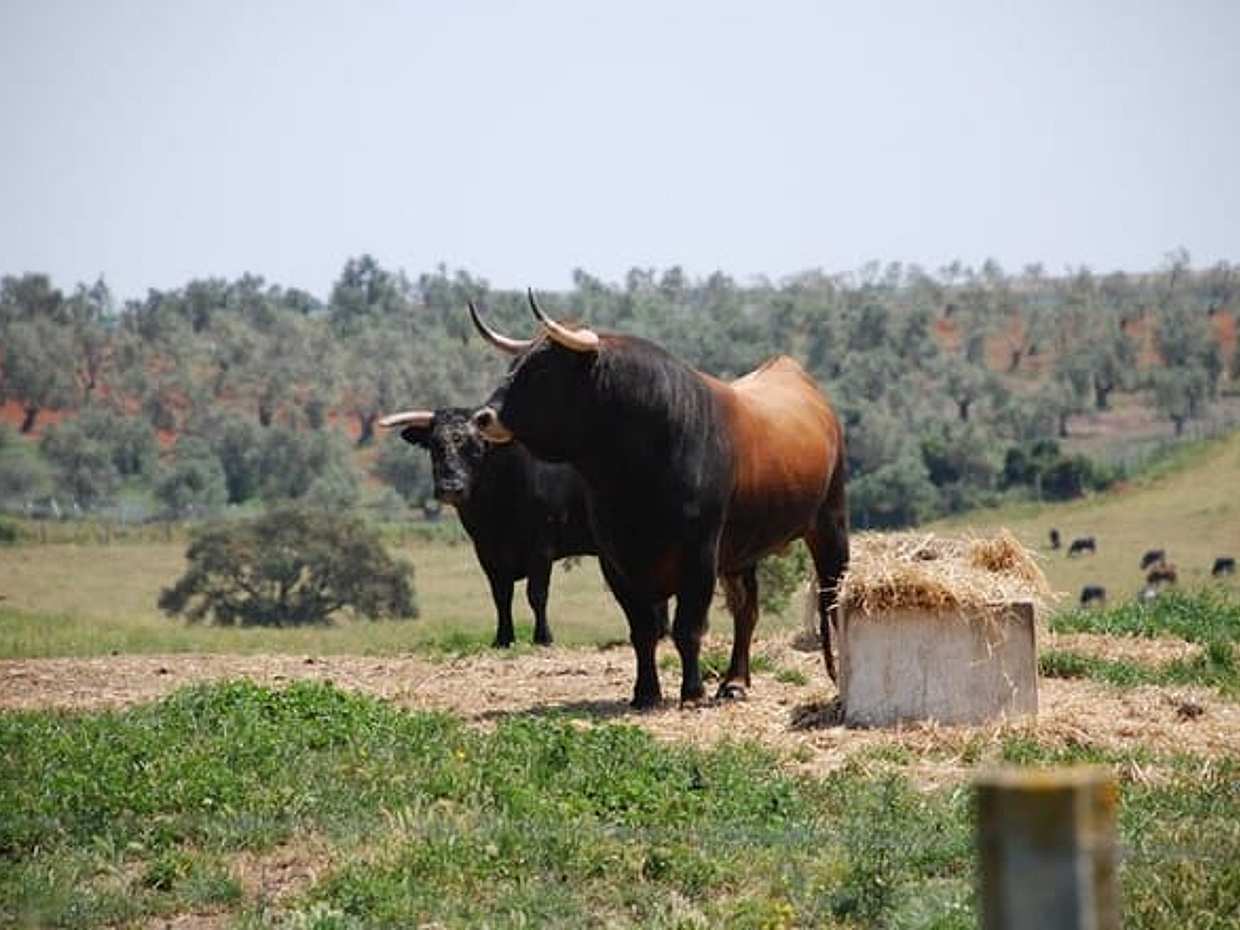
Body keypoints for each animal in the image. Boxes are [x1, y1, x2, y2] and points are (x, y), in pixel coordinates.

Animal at [375, 407, 602, 648]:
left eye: (478, 448)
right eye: (435, 445)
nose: (450, 487)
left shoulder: (541, 547)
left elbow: (537, 594)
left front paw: (543, 638)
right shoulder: (486, 549)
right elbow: (501, 595)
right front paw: (503, 638)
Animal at [467, 293, 849, 709]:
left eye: (541, 370)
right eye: (514, 365)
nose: (482, 417)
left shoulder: (699, 556)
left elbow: (687, 628)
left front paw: (692, 692)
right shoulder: (615, 561)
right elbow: (643, 631)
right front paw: (645, 692)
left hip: (829, 524)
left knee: (831, 596)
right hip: (741, 551)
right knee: (746, 610)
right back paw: (734, 681)